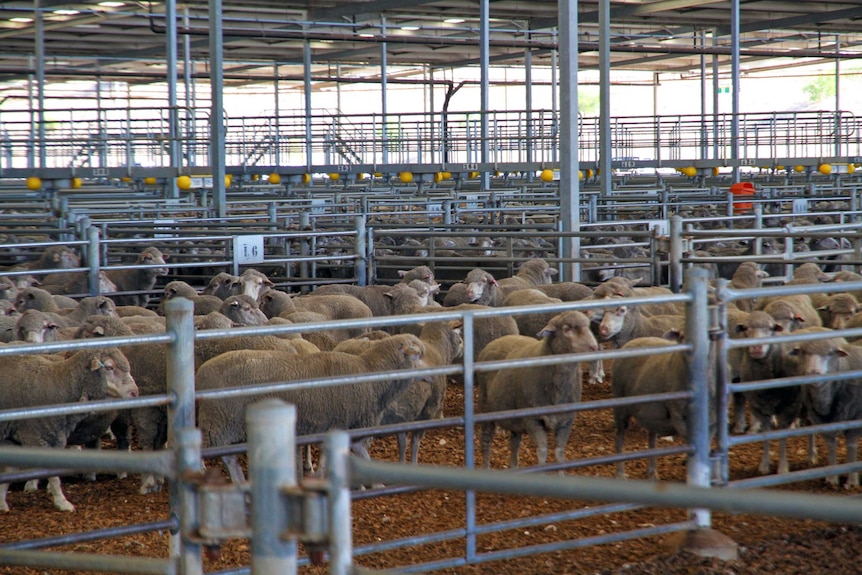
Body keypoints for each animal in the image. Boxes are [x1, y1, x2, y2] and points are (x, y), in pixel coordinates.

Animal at [195, 330, 426, 484]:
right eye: (418, 355)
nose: (430, 375)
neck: (369, 372)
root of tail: (201, 373)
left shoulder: (335, 423)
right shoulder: (342, 421)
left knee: (229, 457)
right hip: (220, 421)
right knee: (218, 454)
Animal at [476, 312, 596, 470]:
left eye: (589, 326)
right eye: (567, 329)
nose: (594, 347)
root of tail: (498, 339)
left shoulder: (566, 420)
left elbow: (559, 453)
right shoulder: (533, 420)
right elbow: (542, 452)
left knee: (515, 441)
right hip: (485, 408)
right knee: (486, 439)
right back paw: (485, 467)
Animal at [616, 330, 724, 480]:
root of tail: (632, 341)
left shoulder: (713, 421)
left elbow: (706, 444)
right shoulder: (677, 414)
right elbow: (691, 441)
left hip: (651, 413)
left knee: (652, 438)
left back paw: (652, 473)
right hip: (620, 405)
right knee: (620, 437)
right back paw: (620, 473)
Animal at [792, 328, 862, 486]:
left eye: (830, 353)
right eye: (803, 352)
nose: (813, 372)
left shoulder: (855, 420)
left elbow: (851, 446)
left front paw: (852, 481)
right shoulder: (820, 419)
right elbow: (831, 445)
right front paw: (831, 478)